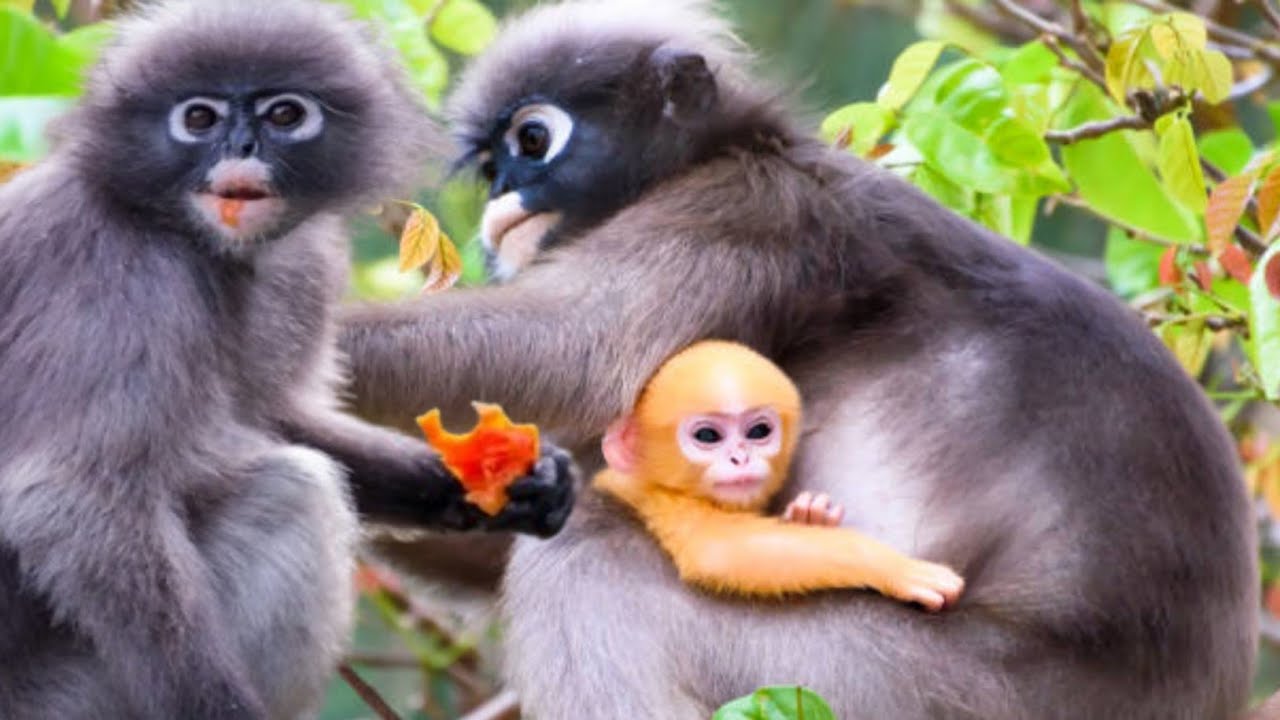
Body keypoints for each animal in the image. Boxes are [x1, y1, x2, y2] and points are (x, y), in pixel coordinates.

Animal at [0, 2, 574, 719]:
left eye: (283, 115)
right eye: (199, 119)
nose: (242, 149)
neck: (193, 241)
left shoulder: (300, 265)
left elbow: (275, 417)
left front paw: (504, 482)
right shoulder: (109, 270)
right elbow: (71, 498)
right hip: (73, 694)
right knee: (290, 491)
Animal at [596, 340, 964, 608]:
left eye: (758, 431)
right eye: (707, 436)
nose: (740, 458)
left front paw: (812, 515)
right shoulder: (663, 500)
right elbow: (718, 551)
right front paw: (896, 567)